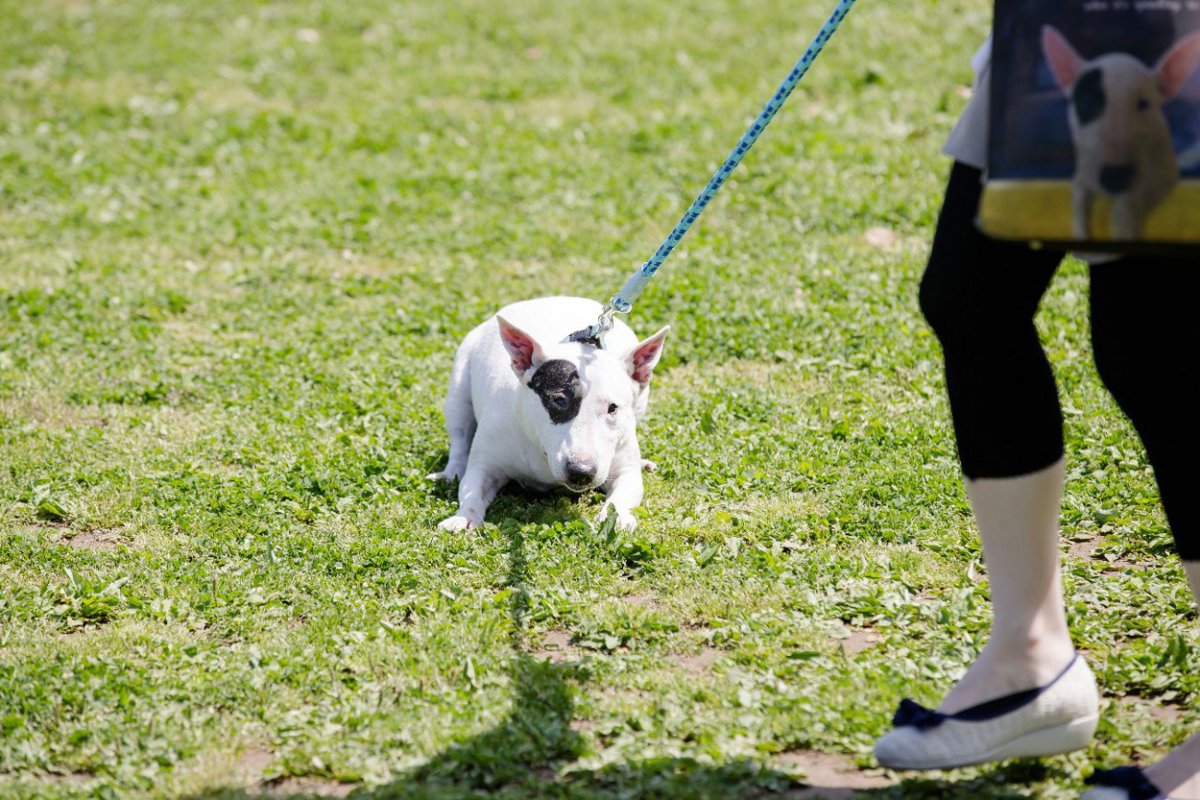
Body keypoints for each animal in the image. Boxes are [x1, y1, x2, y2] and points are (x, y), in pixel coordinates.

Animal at [427, 297, 672, 534]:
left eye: (613, 408)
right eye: (559, 400)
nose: (581, 472)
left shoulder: (623, 469)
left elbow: (624, 493)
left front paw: (616, 518)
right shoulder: (485, 464)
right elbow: (471, 489)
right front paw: (464, 517)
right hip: (458, 391)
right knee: (459, 439)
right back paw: (451, 472)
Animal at [1041, 24, 1200, 237]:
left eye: (1143, 104)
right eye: (1086, 102)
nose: (1115, 177)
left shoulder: (1164, 176)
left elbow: (1136, 195)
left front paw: (1123, 222)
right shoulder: (1083, 174)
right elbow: (1079, 200)